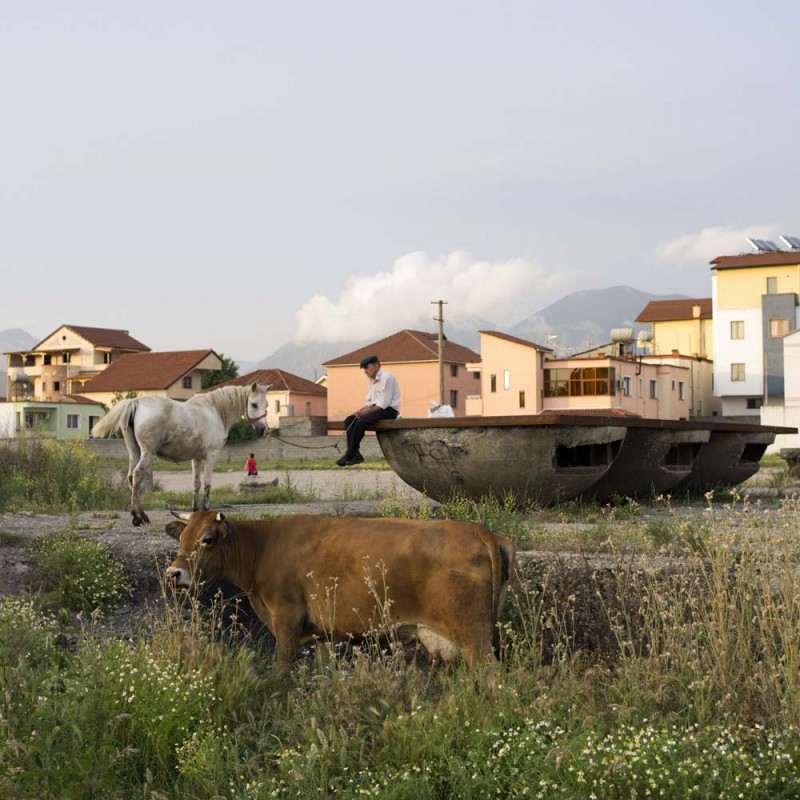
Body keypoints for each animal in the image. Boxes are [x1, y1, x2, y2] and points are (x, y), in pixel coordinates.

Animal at [92, 386, 270, 528]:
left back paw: (142, 515)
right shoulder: (211, 456)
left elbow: (196, 484)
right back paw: (137, 517)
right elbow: (207, 484)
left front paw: (195, 510)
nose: (263, 430)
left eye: (267, 404)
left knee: (130, 476)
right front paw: (206, 510)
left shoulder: (196, 458)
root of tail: (135, 402)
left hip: (134, 451)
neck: (215, 412)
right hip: (147, 453)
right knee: (137, 475)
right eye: (254, 404)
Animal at [166, 512, 516, 680]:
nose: (174, 574)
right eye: (182, 538)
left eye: (207, 539)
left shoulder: (286, 618)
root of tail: (476, 529)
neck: (262, 546)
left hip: (473, 636)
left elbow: (281, 667)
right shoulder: (322, 632)